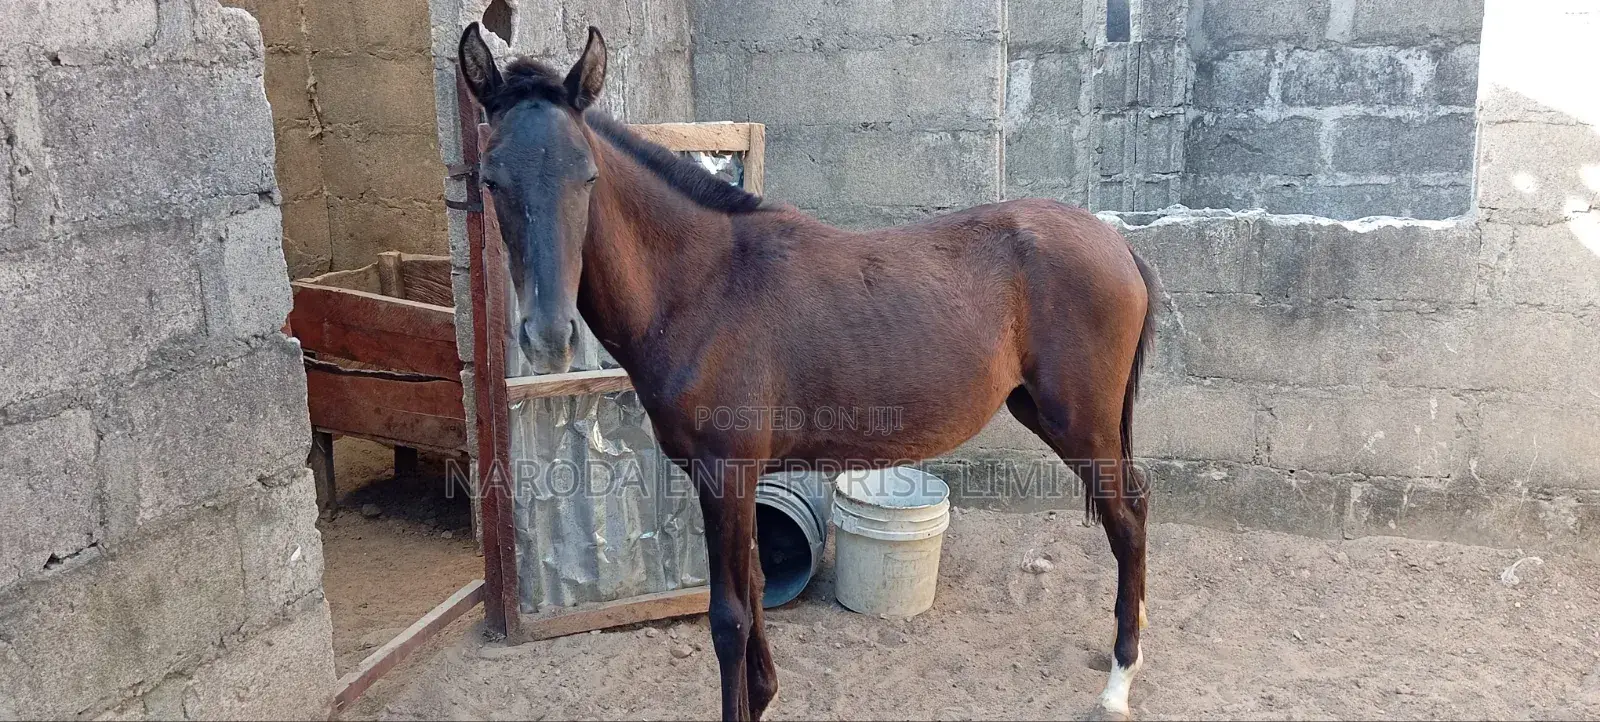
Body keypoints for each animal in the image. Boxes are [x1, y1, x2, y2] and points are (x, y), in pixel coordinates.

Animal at [458, 22, 1159, 721]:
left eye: (587, 175)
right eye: (491, 181)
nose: (549, 337)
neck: (704, 287)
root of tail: (1117, 243)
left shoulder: (725, 476)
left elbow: (729, 618)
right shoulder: (735, 481)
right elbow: (756, 586)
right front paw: (764, 694)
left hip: (1081, 423)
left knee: (1127, 519)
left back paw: (1120, 680)